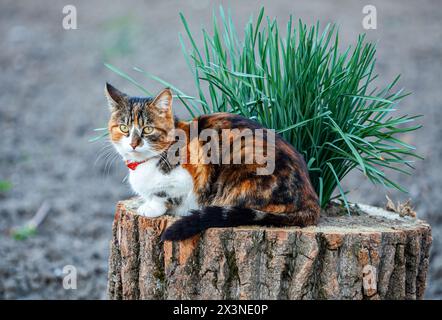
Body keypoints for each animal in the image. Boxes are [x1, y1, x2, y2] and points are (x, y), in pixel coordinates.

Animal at [105, 82, 320, 240]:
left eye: (148, 129)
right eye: (124, 128)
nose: (133, 143)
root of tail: (312, 199)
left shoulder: (190, 178)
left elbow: (163, 194)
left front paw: (150, 207)